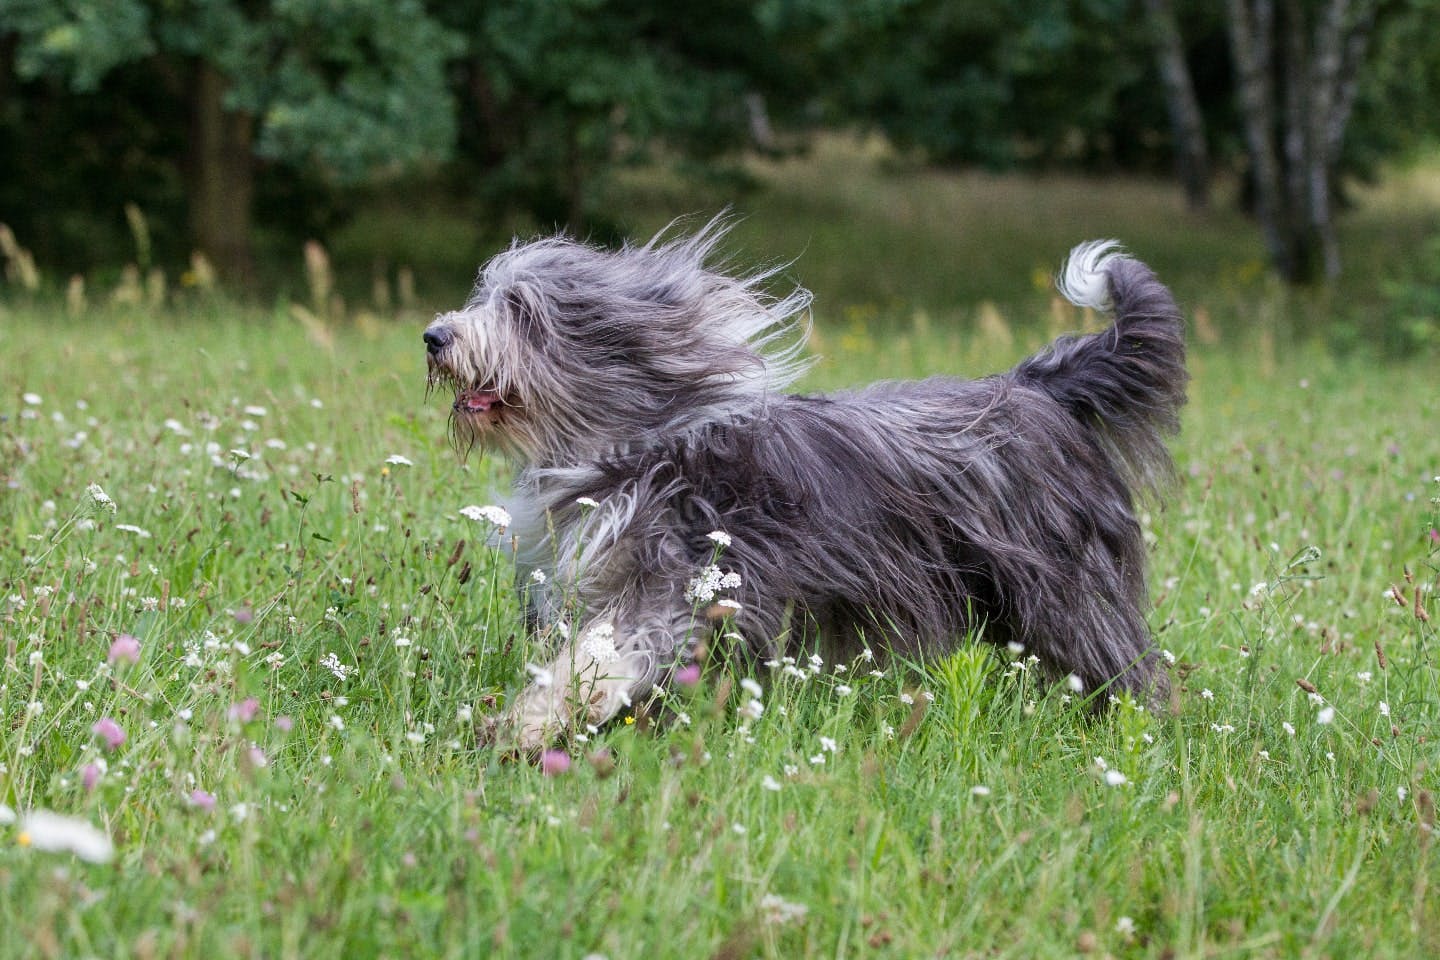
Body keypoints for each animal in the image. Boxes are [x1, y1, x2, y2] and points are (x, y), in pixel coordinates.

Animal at [420, 221, 1186, 748]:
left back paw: (1132, 729)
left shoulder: (677, 577)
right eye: (485, 296)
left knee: (1120, 661)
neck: (638, 438)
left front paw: (523, 728)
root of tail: (1037, 386)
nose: (434, 335)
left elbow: (602, 655)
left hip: (1067, 587)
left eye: (521, 310)